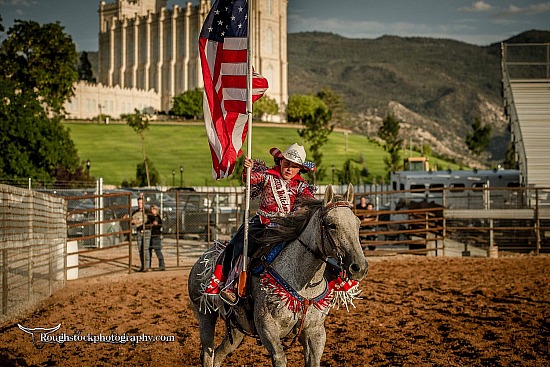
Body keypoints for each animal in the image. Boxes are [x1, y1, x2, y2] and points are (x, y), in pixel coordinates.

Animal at [190, 185, 370, 366]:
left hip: (236, 329)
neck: (302, 282)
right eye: (332, 225)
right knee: (207, 353)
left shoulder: (315, 333)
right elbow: (280, 358)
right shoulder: (268, 329)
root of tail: (204, 258)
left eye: (358, 223)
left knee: (218, 355)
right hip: (204, 315)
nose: (359, 267)